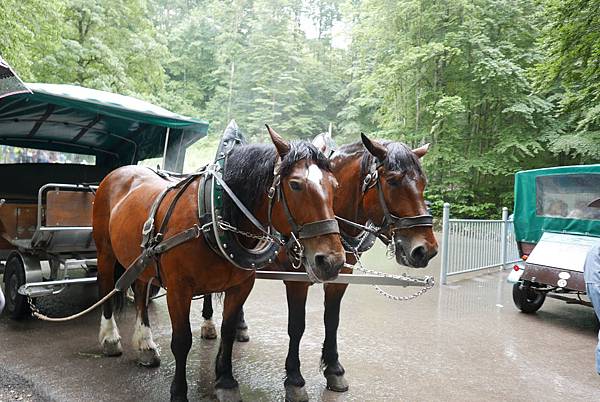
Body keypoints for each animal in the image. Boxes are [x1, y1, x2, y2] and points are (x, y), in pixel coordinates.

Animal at [94, 127, 346, 402]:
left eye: (334, 185)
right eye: (295, 184)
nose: (332, 261)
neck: (213, 216)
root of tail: (120, 171)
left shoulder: (241, 285)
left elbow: (227, 330)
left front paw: (226, 381)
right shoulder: (179, 290)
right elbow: (182, 340)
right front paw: (178, 392)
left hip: (141, 260)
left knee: (140, 292)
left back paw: (145, 344)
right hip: (105, 252)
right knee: (107, 286)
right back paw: (110, 338)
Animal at [199, 133, 438, 400]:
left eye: (423, 182)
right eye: (393, 181)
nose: (425, 250)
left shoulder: (341, 276)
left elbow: (332, 320)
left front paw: (334, 369)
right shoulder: (296, 280)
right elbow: (297, 326)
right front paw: (294, 379)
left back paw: (240, 326)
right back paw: (208, 323)